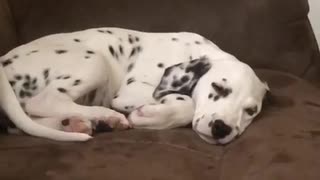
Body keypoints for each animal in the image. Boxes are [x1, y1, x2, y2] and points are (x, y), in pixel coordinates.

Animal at [0, 27, 268, 144]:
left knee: (28, 119)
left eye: (250, 111)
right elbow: (187, 104)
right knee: (44, 101)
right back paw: (108, 116)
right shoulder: (132, 91)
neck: (191, 50)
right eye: (218, 88)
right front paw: (151, 116)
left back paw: (78, 123)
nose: (222, 128)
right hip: (95, 61)